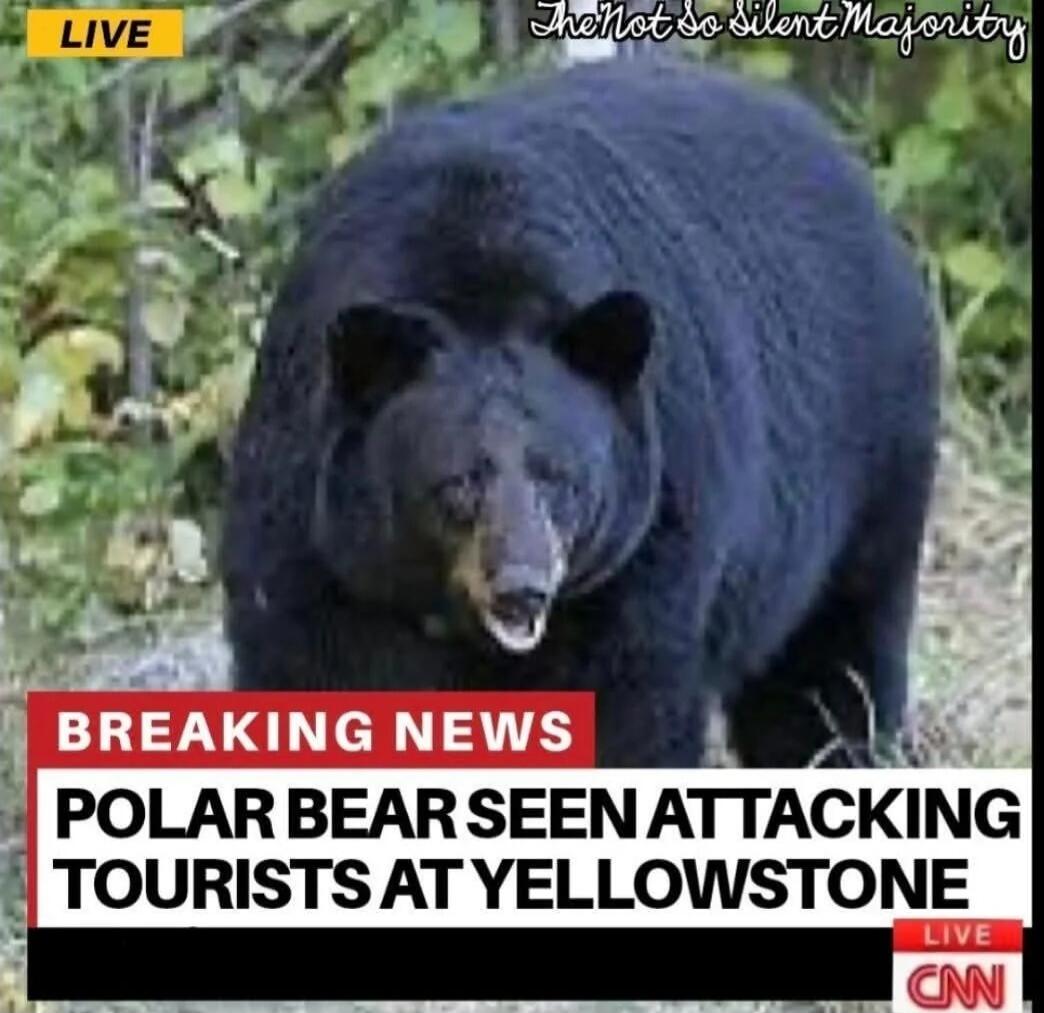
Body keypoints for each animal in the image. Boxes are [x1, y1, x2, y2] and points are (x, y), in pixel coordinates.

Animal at [218, 55, 940, 769]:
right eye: (460, 481)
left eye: (559, 478)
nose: (522, 589)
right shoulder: (315, 540)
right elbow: (311, 669)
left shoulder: (643, 547)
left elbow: (625, 711)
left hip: (867, 452)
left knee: (830, 658)